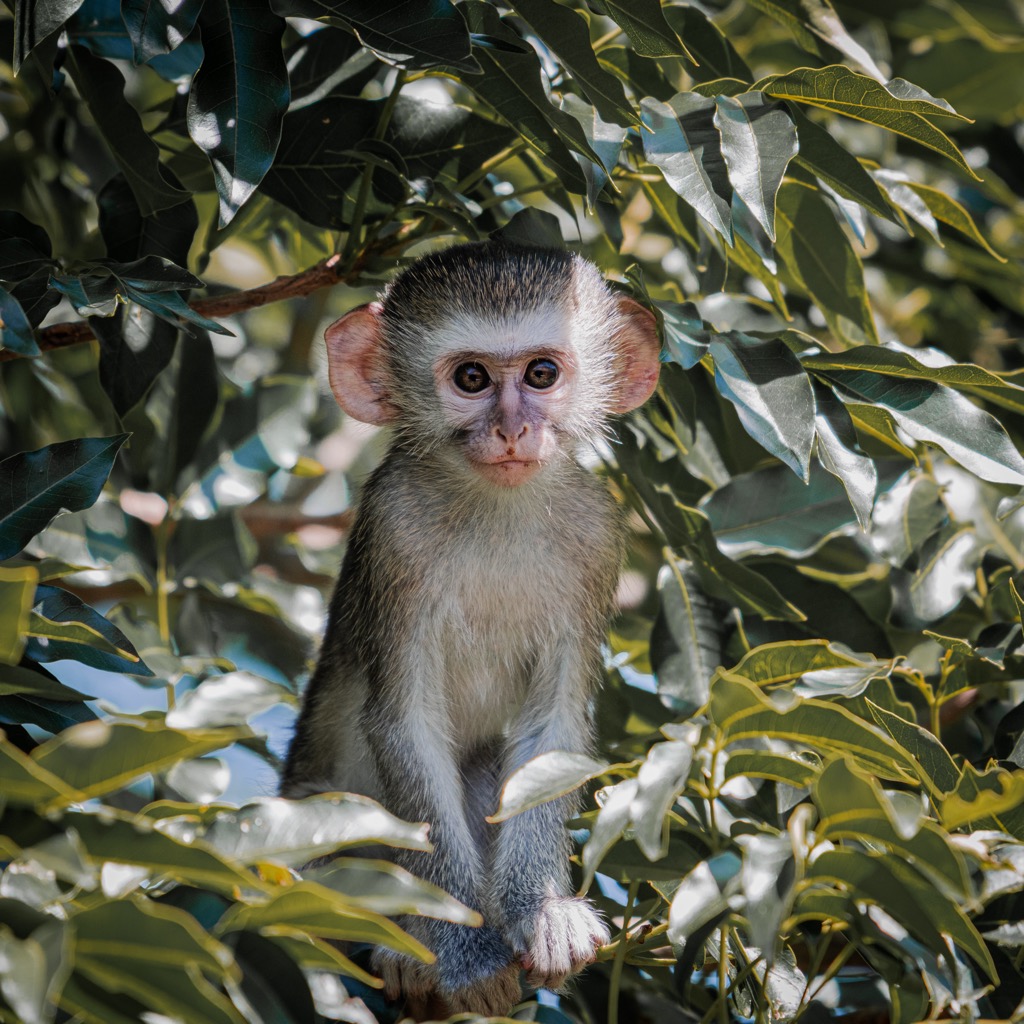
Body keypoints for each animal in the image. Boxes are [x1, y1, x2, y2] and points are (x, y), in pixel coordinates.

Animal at [282, 241, 663, 1015]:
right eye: (472, 378)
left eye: (541, 374)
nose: (513, 429)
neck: (495, 511)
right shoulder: (393, 530)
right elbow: (406, 724)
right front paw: (460, 948)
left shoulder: (597, 537)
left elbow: (551, 733)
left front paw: (540, 915)